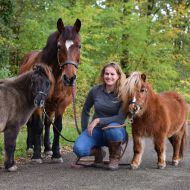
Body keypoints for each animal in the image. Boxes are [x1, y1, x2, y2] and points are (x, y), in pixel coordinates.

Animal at [19, 18, 81, 163]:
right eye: (59, 46)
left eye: (79, 46)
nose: (70, 78)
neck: (55, 77)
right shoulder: (37, 102)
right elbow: (37, 125)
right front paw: (36, 155)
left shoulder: (62, 103)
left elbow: (57, 127)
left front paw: (56, 154)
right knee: (31, 123)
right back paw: (30, 147)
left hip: (50, 105)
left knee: (47, 123)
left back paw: (47, 149)